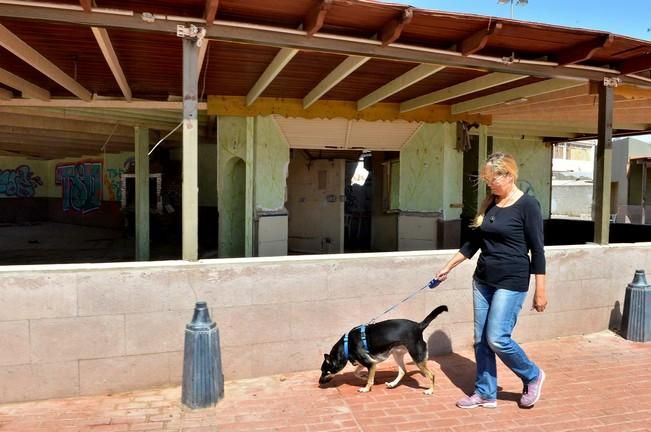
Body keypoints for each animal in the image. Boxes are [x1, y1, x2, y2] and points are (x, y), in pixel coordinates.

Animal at [320, 304, 448, 394]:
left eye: (326, 372)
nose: (319, 383)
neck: (347, 345)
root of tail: (419, 326)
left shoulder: (370, 364)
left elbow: (369, 380)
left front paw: (366, 388)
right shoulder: (368, 361)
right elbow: (356, 372)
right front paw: (363, 376)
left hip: (417, 358)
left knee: (431, 375)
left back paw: (430, 391)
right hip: (397, 354)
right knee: (403, 371)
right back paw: (392, 384)